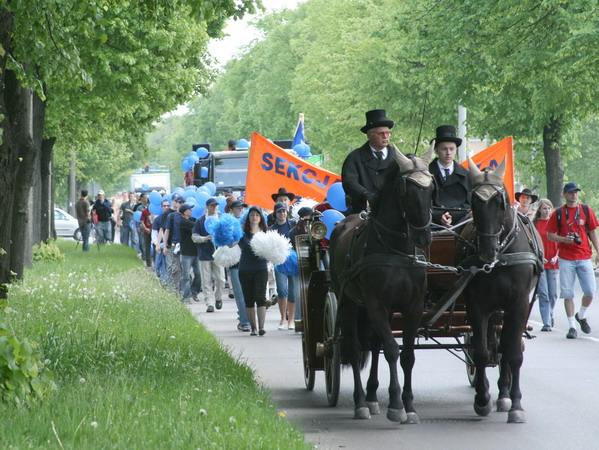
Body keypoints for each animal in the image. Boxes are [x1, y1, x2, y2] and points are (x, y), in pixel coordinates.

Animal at [328, 145, 436, 422]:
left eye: (431, 188)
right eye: (407, 190)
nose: (423, 236)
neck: (397, 251)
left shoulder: (412, 306)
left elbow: (406, 355)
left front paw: (409, 405)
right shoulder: (376, 303)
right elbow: (391, 350)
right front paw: (396, 405)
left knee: (374, 344)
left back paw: (372, 395)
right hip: (349, 303)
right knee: (355, 347)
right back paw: (360, 402)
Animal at [460, 160, 544, 424]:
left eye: (502, 201)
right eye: (473, 202)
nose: (487, 251)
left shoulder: (518, 304)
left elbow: (512, 351)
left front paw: (515, 404)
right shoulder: (476, 304)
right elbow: (480, 351)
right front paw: (482, 399)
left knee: (504, 344)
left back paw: (504, 394)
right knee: (491, 344)